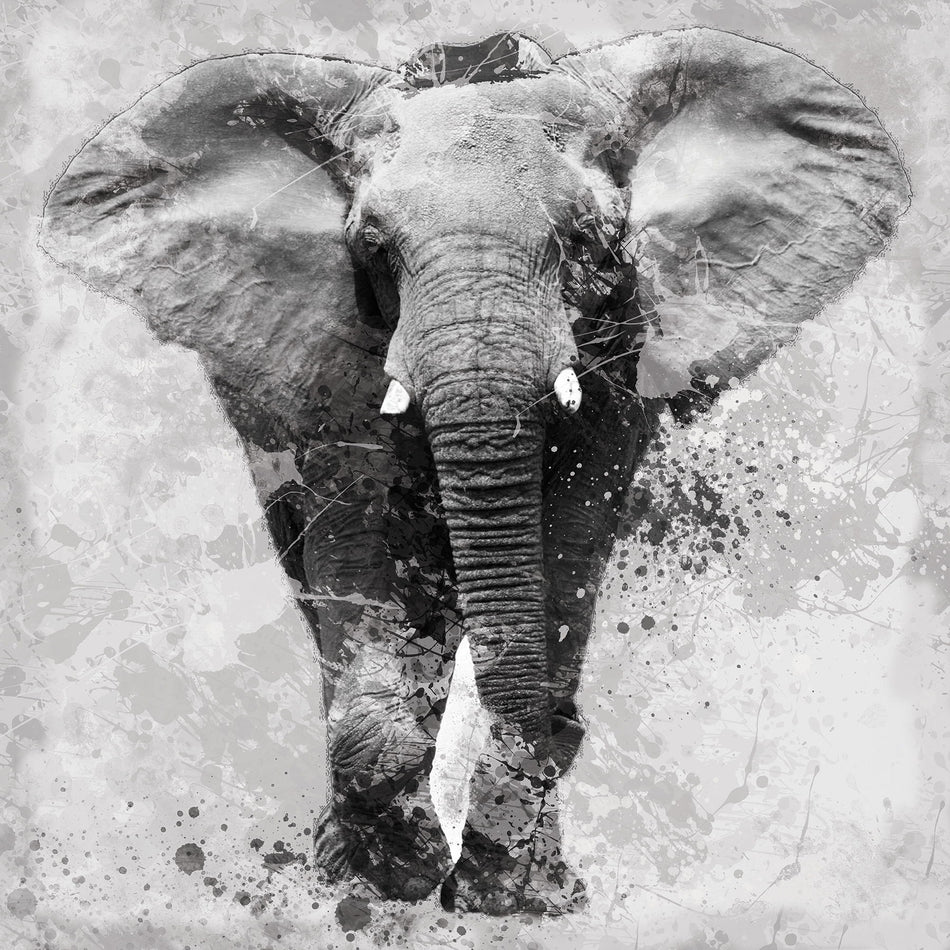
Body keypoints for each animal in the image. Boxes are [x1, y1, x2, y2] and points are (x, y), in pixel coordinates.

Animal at [39, 29, 909, 915]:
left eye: (589, 241)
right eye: (373, 246)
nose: (564, 731)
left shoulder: (627, 335)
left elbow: (571, 533)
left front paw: (515, 893)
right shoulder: (332, 340)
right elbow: (354, 530)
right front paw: (382, 875)